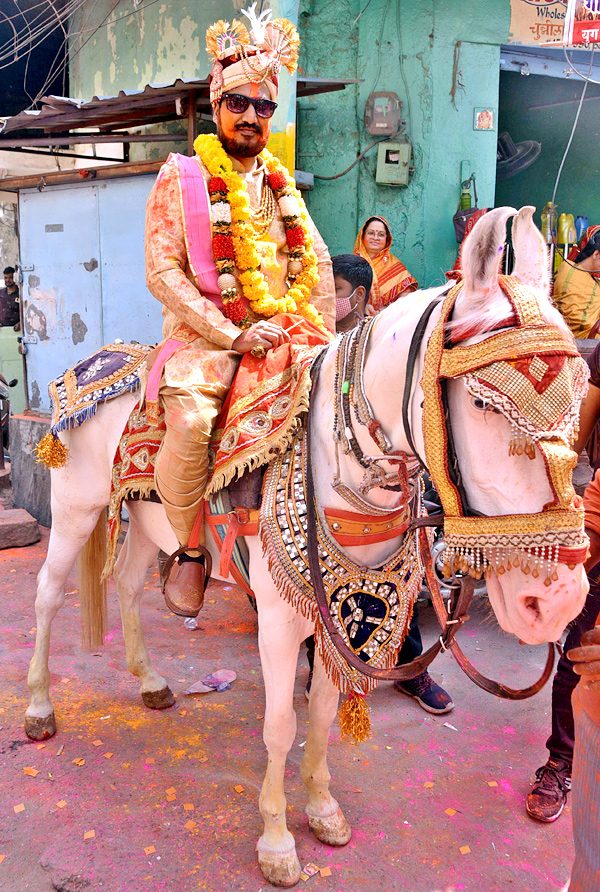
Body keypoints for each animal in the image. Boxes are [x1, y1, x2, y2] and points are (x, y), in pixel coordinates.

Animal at [25, 207, 588, 884]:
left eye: (581, 394)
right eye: (483, 403)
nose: (556, 603)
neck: (340, 467)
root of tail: (95, 362)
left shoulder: (340, 620)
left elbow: (319, 715)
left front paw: (322, 811)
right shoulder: (277, 620)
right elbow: (279, 725)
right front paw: (276, 843)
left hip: (145, 519)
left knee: (133, 586)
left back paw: (152, 680)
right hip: (75, 508)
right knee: (48, 595)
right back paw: (39, 709)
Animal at [144, 10, 336, 616]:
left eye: (264, 105)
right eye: (236, 103)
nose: (252, 118)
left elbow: (319, 258)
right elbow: (166, 266)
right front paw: (255, 340)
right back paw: (186, 577)